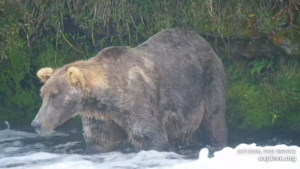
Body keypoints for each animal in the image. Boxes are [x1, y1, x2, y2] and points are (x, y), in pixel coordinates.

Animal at [31, 28, 227, 153]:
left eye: (55, 96)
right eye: (43, 95)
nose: (36, 124)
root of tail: (203, 40)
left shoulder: (138, 103)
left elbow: (150, 137)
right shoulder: (100, 117)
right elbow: (99, 141)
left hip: (207, 84)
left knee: (213, 122)